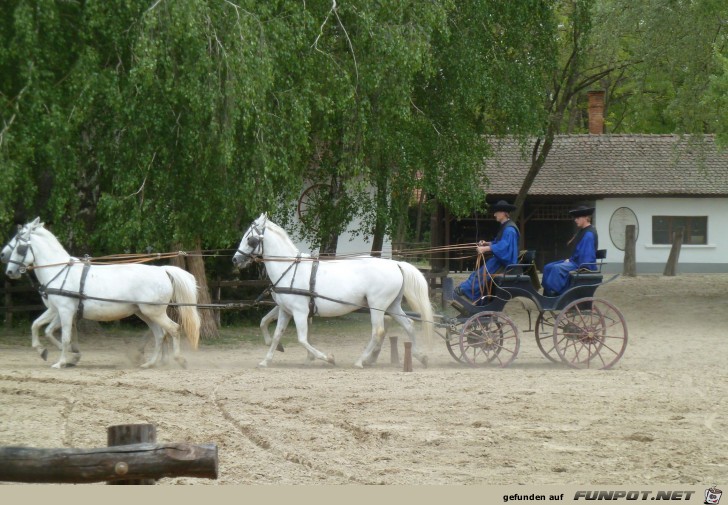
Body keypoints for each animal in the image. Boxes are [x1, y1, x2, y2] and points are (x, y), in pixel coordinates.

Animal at [4, 219, 202, 368]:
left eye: (19, 246)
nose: (9, 271)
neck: (60, 270)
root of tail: (162, 271)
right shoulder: (57, 310)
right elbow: (40, 327)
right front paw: (54, 353)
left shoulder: (65, 310)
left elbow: (65, 336)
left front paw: (61, 362)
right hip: (145, 313)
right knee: (160, 335)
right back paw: (150, 364)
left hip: (154, 312)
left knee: (173, 329)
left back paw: (179, 360)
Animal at [232, 213, 432, 366]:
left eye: (250, 239)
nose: (235, 259)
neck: (289, 268)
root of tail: (396, 264)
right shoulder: (285, 310)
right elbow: (274, 333)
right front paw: (266, 360)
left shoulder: (299, 312)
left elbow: (302, 339)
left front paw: (327, 358)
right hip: (392, 305)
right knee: (409, 325)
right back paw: (420, 356)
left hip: (378, 305)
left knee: (378, 331)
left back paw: (360, 361)